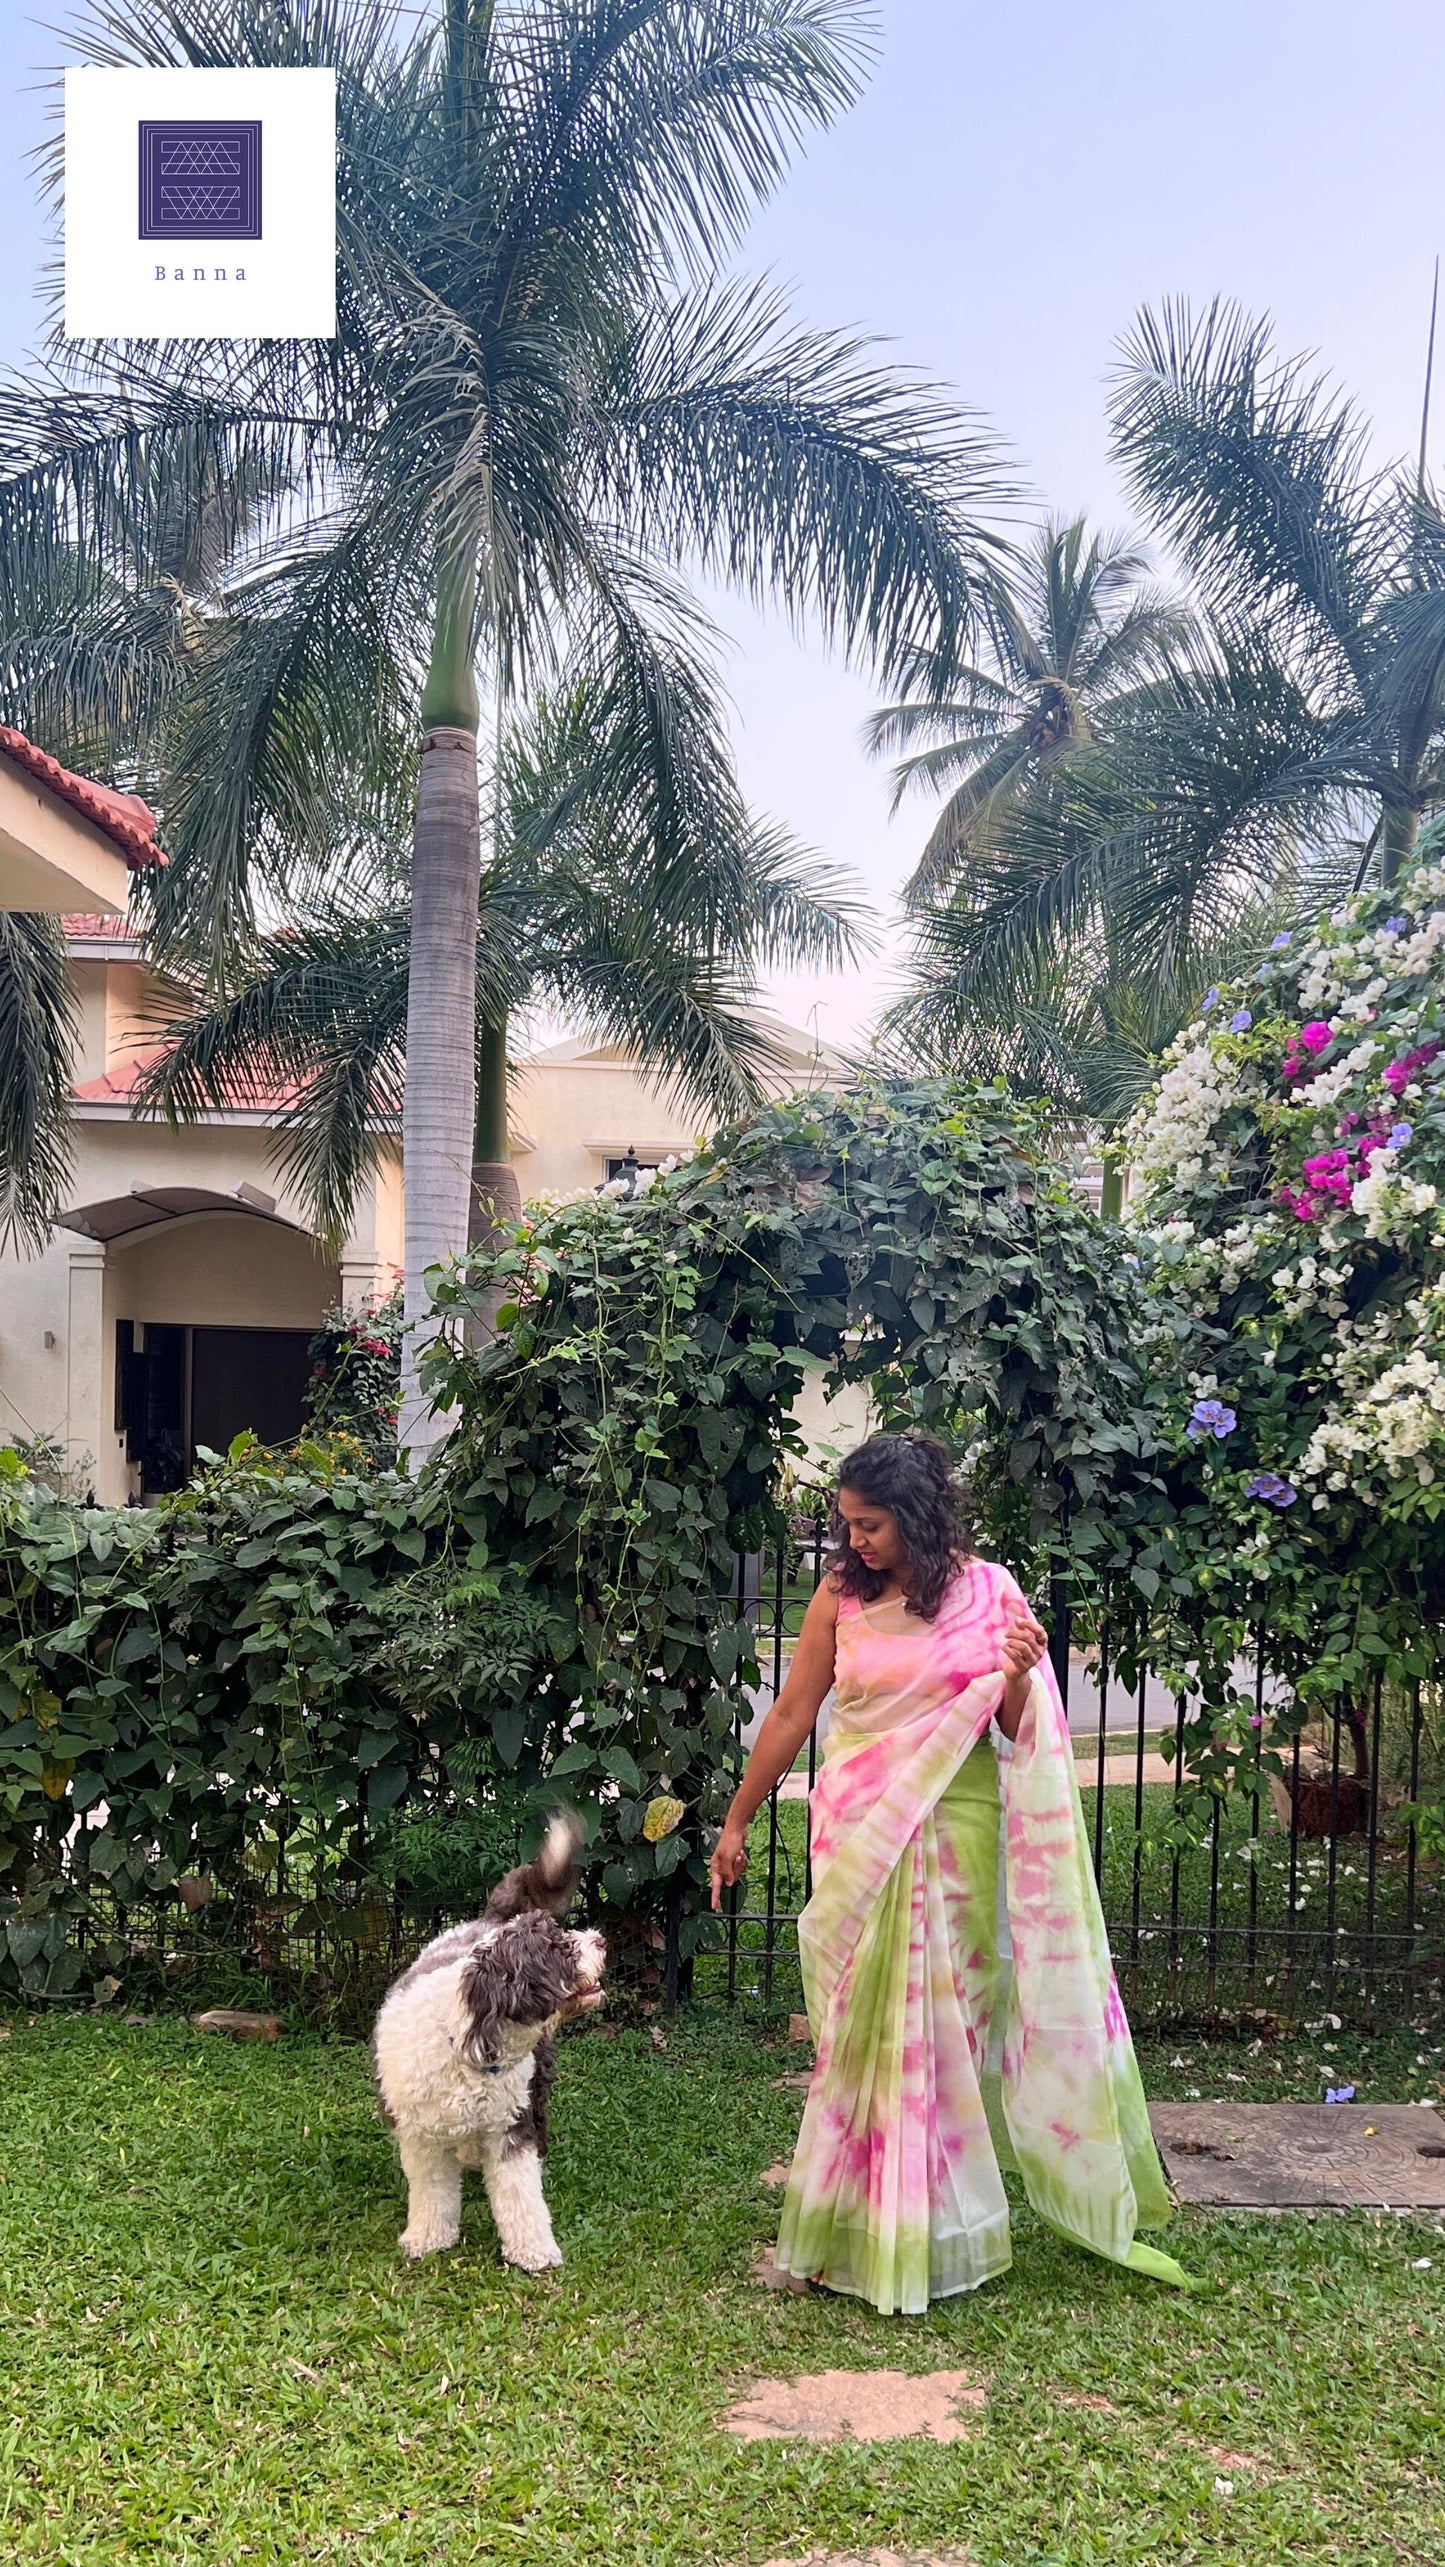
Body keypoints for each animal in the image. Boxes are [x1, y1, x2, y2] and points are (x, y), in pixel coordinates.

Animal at [372, 1807, 605, 2269]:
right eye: (559, 1947)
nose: (601, 1940)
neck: (469, 2048)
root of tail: (491, 1918)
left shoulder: (511, 2127)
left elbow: (521, 2195)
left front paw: (534, 2251)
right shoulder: (419, 2137)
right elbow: (432, 2192)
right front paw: (427, 2237)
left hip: (538, 2086)